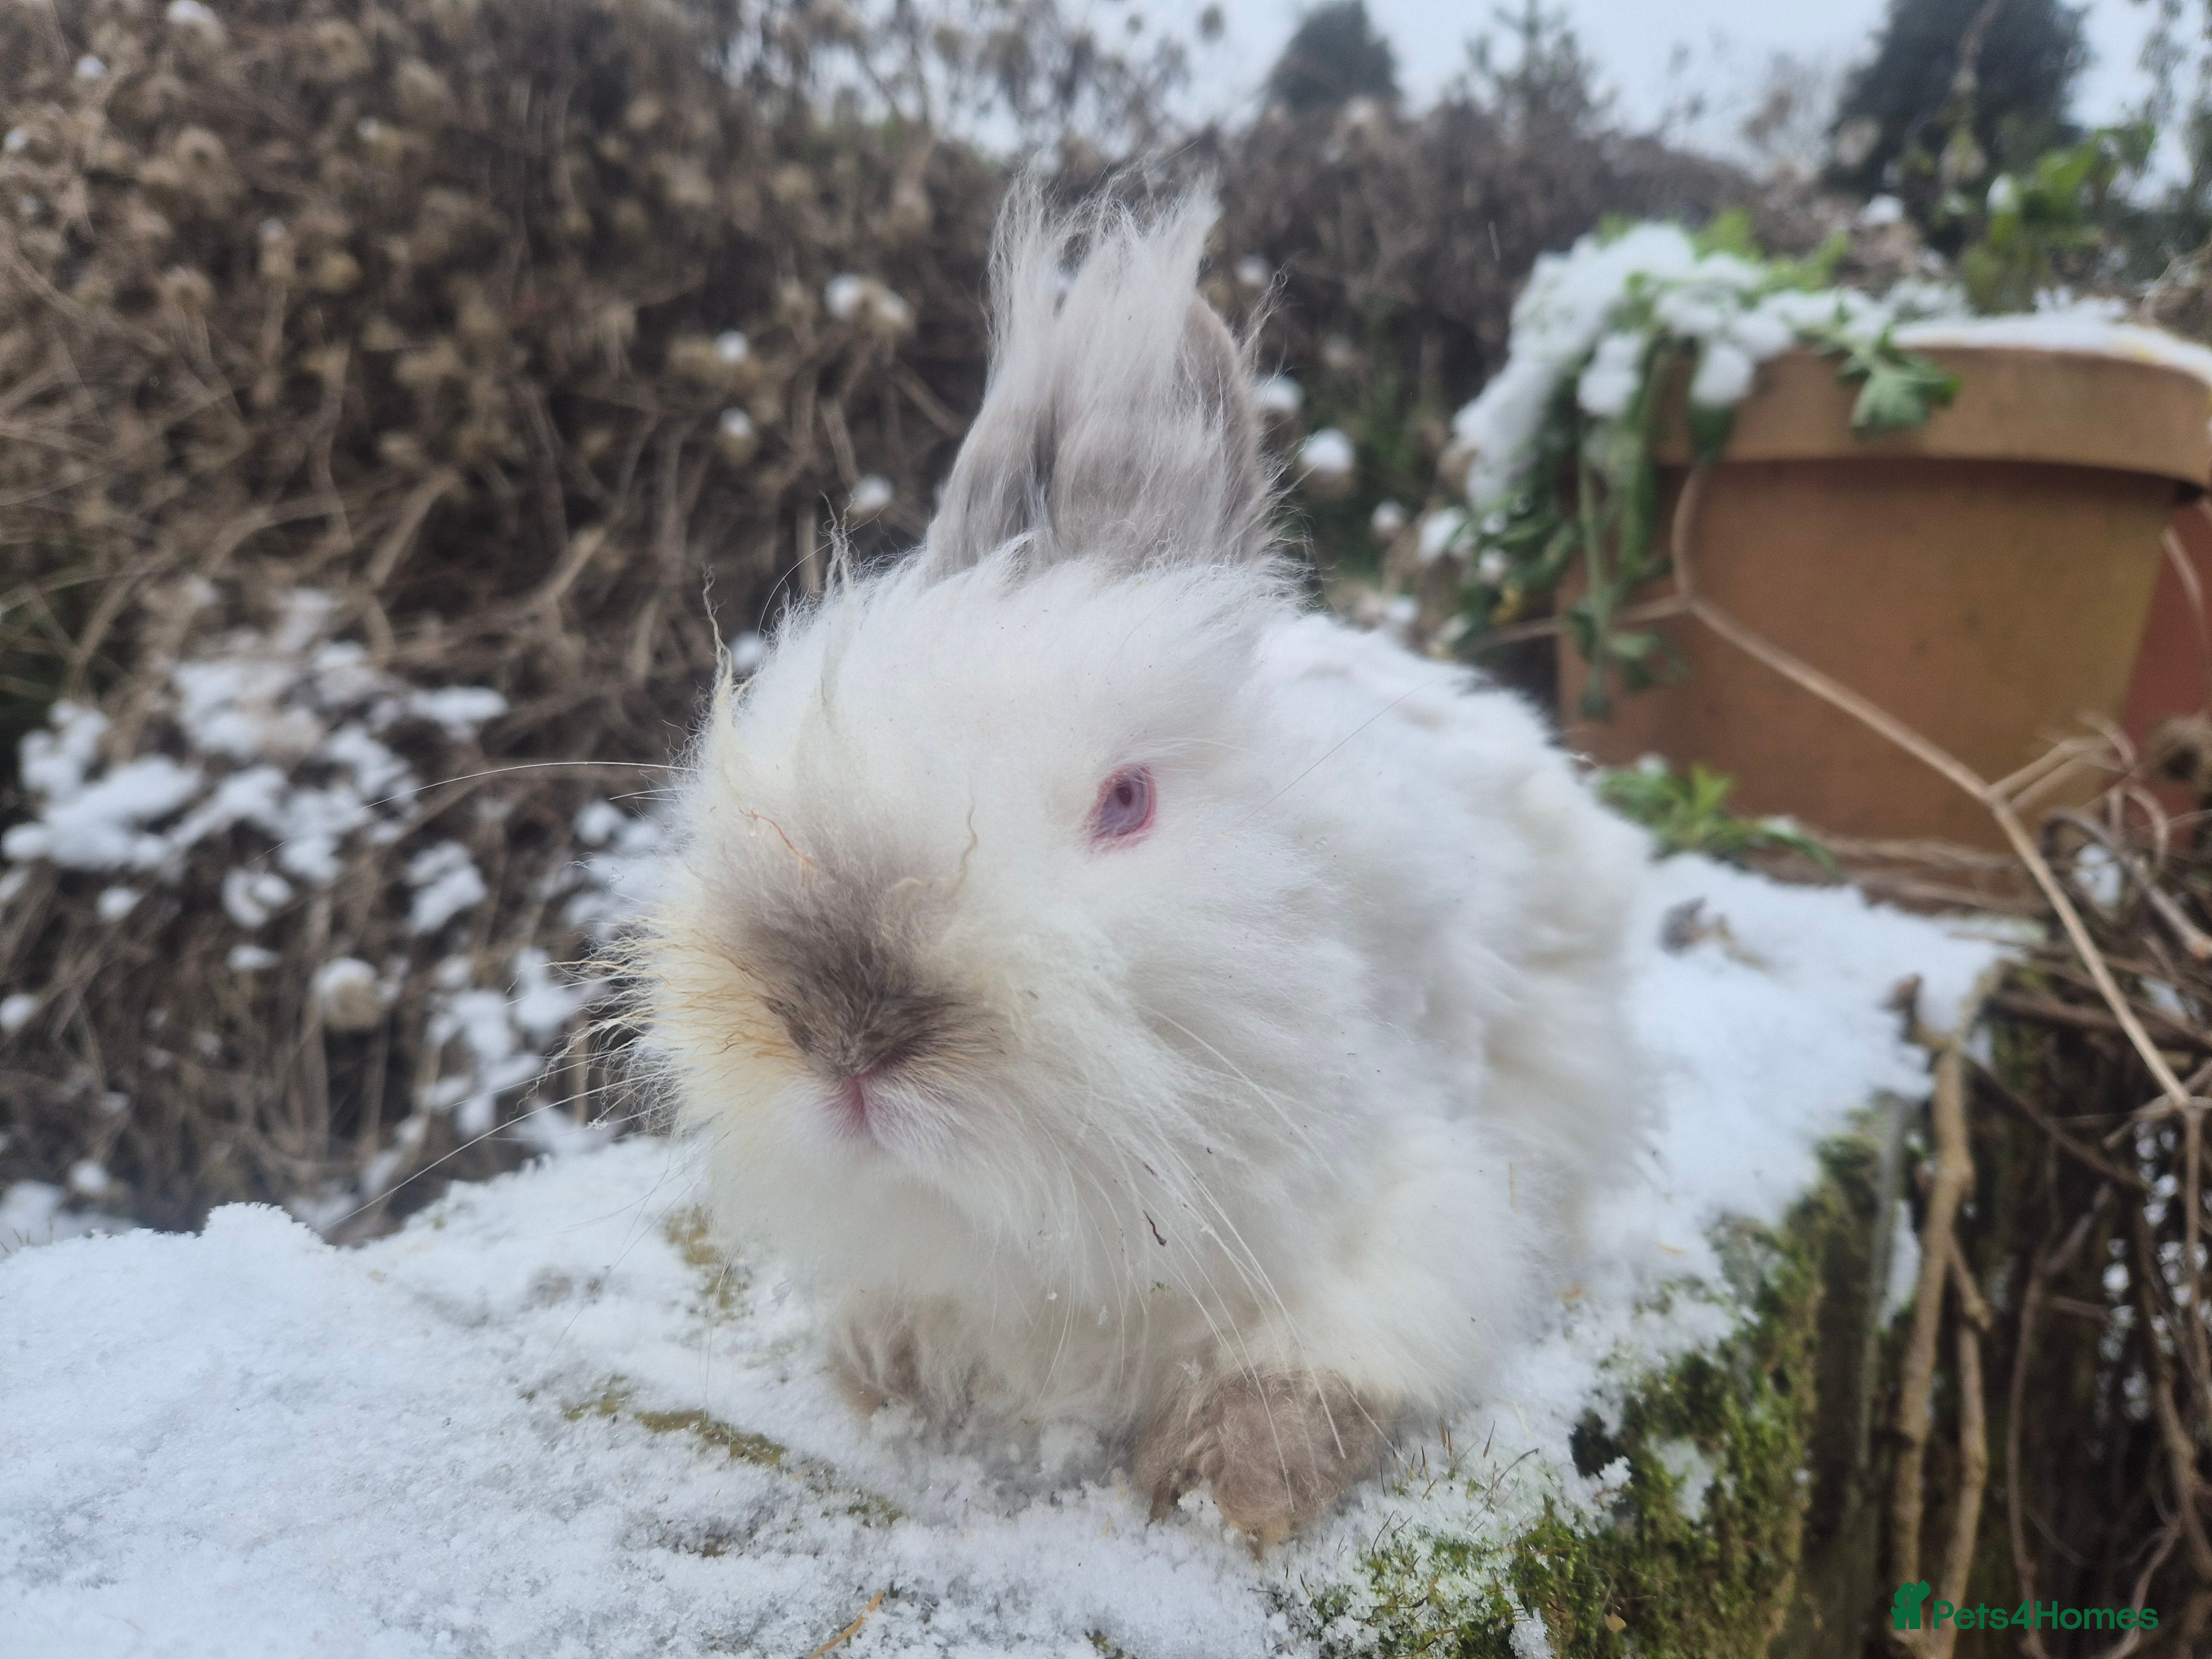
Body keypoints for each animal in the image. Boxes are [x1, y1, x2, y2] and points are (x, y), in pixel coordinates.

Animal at [637, 188, 1648, 1548]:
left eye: (1125, 803)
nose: (841, 1029)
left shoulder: (1403, 1217)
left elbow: (1328, 1359)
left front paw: (1231, 1485)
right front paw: (881, 1375)